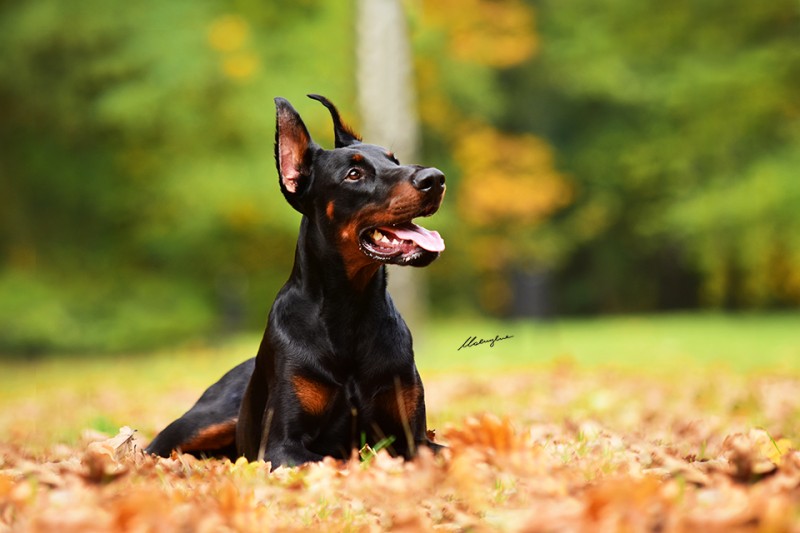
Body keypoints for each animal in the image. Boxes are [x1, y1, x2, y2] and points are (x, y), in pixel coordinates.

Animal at [144, 95, 444, 466]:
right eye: (354, 174)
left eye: (395, 159)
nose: (436, 178)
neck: (350, 309)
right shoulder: (282, 445)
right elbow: (332, 459)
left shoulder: (414, 437)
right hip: (202, 422)